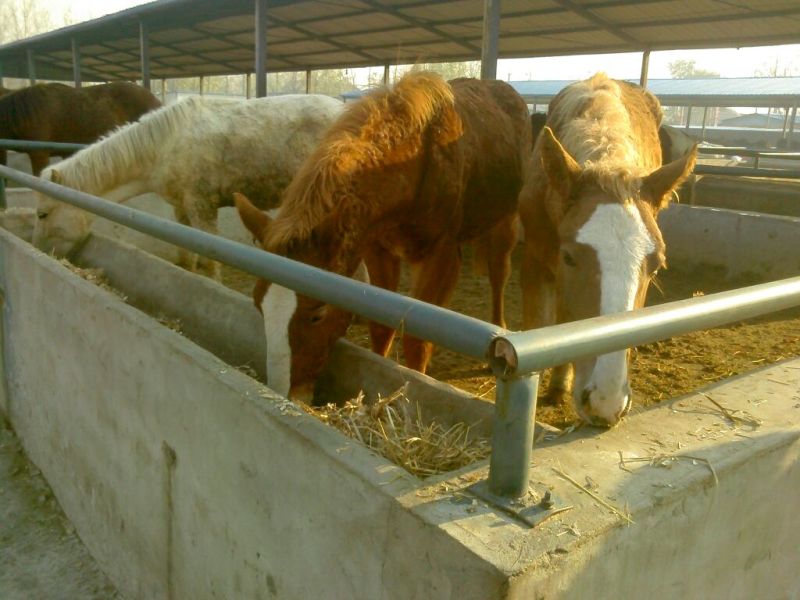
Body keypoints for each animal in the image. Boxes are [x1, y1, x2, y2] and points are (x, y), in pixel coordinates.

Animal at [33, 93, 344, 278]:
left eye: (42, 214)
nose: (39, 250)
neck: (163, 147)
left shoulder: (201, 206)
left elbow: (211, 261)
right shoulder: (180, 208)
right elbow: (188, 256)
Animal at [235, 72, 531, 401]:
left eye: (318, 313)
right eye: (258, 302)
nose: (285, 392)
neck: (414, 162)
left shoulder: (440, 256)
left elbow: (418, 340)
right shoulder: (378, 250)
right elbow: (380, 324)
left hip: (505, 220)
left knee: (499, 272)